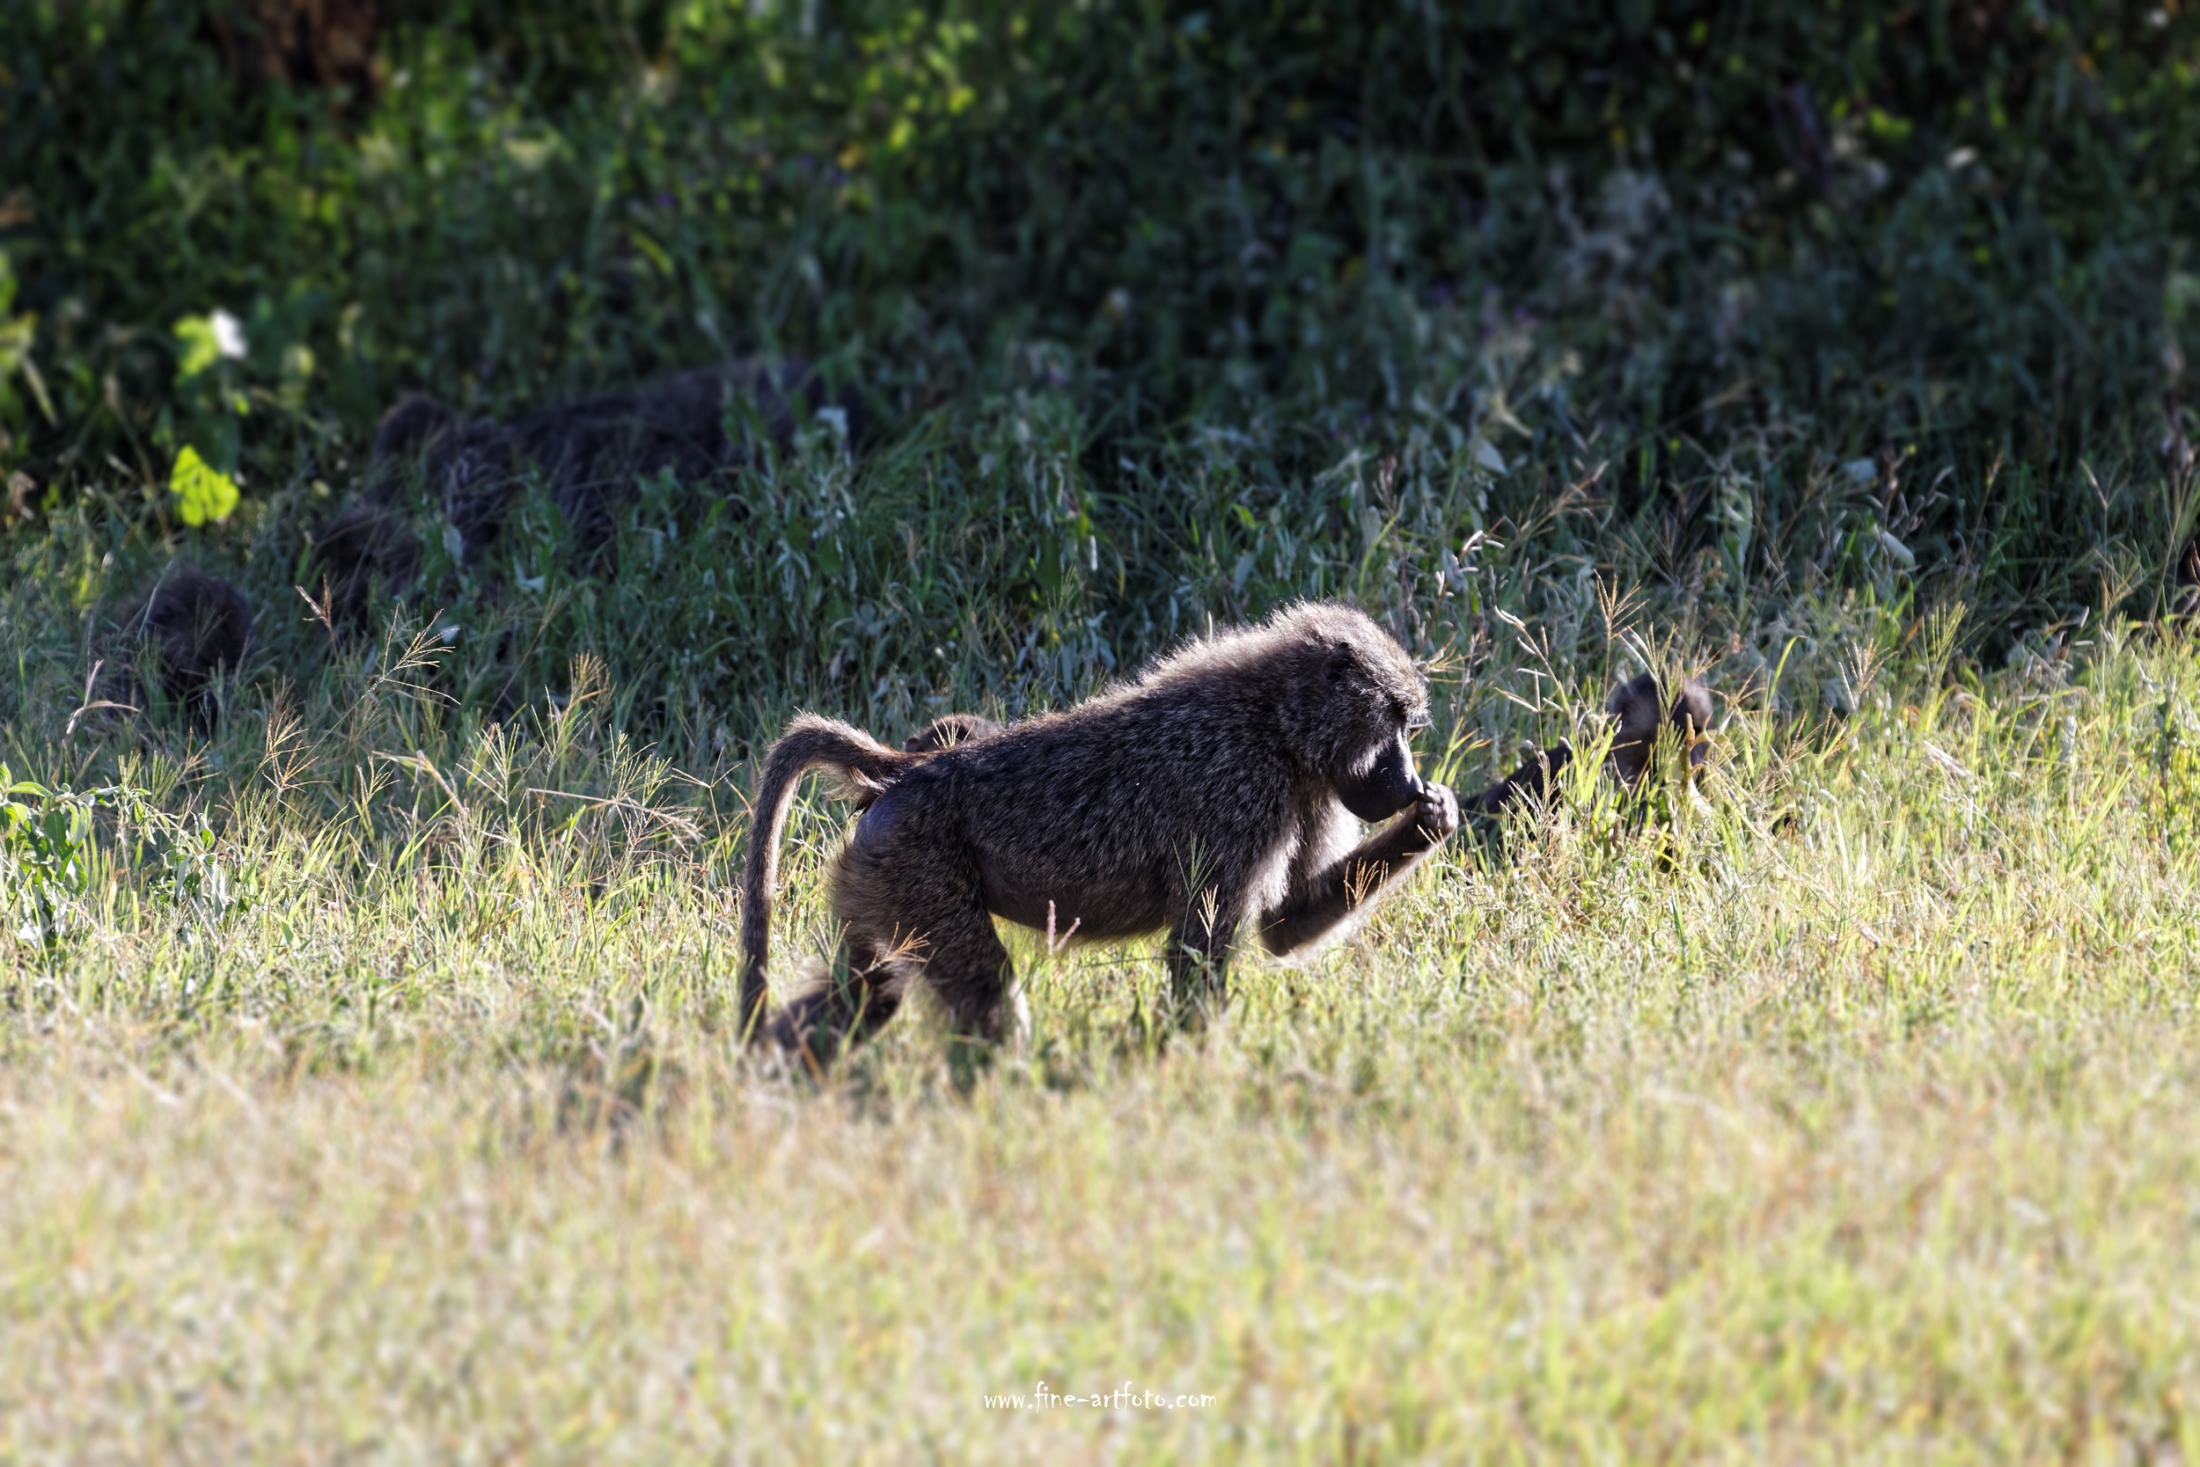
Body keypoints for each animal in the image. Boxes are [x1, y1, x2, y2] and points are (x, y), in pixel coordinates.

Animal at [739, 602, 1459, 1065]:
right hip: (914, 863)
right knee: (984, 994)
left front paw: (1436, 817)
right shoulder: (1241, 798)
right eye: (1393, 722)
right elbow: (1197, 951)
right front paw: (1200, 1075)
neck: (1278, 723)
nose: (1407, 779)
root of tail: (903, 772)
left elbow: (1284, 926)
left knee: (869, 994)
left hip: (877, 870)